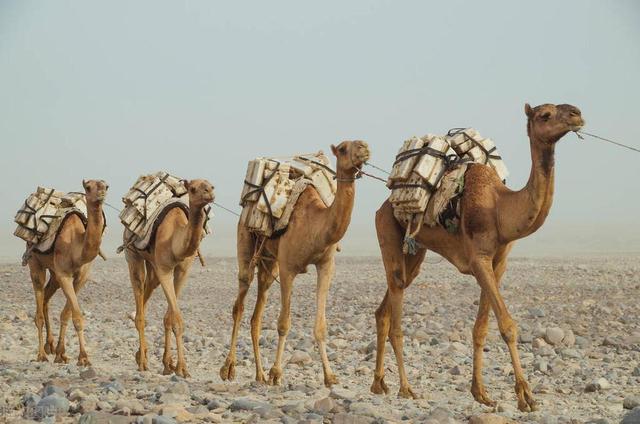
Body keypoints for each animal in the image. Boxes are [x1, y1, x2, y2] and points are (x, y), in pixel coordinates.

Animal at [28, 179, 109, 364]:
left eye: (106, 186)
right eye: (88, 187)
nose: (101, 195)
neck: (76, 243)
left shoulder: (81, 277)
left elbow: (66, 314)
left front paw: (61, 353)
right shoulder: (64, 275)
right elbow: (77, 317)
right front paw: (84, 357)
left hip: (54, 273)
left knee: (46, 300)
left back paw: (50, 346)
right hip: (35, 263)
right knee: (39, 309)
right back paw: (41, 354)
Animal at [125, 179, 215, 378]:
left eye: (211, 186)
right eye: (193, 189)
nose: (209, 193)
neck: (175, 238)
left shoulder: (182, 270)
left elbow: (170, 318)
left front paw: (170, 365)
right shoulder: (165, 270)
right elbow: (177, 319)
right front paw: (181, 368)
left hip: (153, 264)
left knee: (147, 292)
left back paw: (140, 353)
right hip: (133, 254)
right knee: (139, 291)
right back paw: (142, 362)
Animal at [220, 142, 370, 388]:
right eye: (343, 148)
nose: (364, 148)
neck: (315, 223)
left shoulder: (326, 265)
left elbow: (321, 326)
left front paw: (330, 376)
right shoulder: (288, 267)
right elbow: (283, 323)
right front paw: (276, 373)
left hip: (269, 262)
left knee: (257, 314)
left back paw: (259, 375)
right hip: (245, 241)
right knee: (239, 303)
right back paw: (228, 368)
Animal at [370, 102, 584, 410]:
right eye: (545, 115)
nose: (576, 114)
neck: (501, 208)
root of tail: (384, 204)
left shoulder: (497, 264)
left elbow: (481, 328)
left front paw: (480, 392)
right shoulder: (478, 259)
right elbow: (507, 325)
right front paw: (526, 395)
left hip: (415, 251)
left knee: (385, 306)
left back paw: (378, 383)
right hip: (387, 228)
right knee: (397, 307)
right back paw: (405, 388)